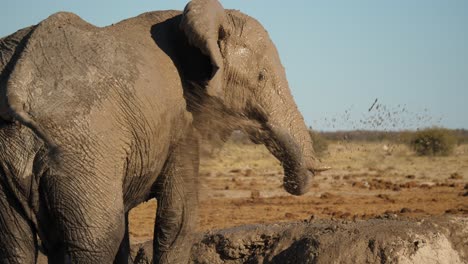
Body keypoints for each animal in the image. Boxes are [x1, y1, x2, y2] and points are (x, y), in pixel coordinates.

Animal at [0, 0, 328, 262]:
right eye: (260, 77)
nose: (295, 181)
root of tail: (16, 89)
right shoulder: (180, 121)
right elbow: (178, 220)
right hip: (83, 152)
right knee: (97, 240)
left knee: (16, 246)